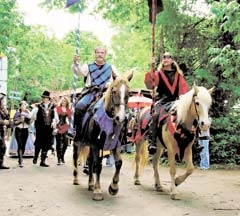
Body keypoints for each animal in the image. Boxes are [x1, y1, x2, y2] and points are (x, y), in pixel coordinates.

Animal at [72, 71, 133, 201]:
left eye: (129, 93)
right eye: (114, 91)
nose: (120, 118)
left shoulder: (115, 144)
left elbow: (119, 163)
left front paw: (114, 187)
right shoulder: (97, 145)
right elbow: (98, 166)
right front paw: (98, 191)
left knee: (90, 161)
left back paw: (90, 183)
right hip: (77, 141)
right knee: (75, 157)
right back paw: (76, 178)